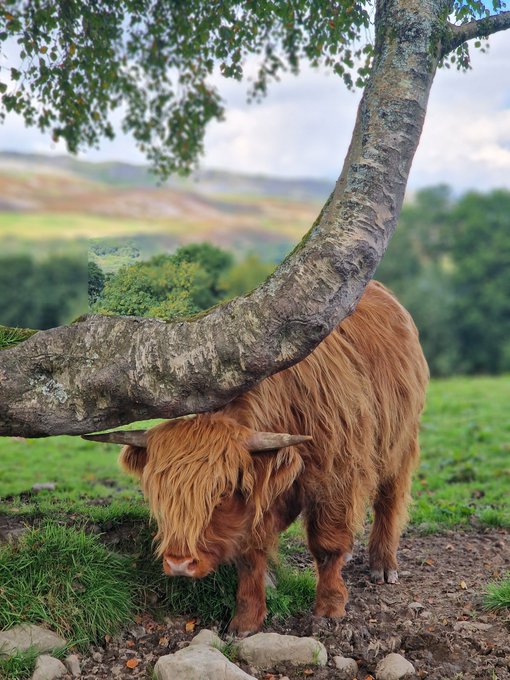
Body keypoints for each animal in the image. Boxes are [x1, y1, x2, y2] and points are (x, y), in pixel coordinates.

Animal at [83, 278, 426, 636]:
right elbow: (250, 556)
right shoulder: (257, 492)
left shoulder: (336, 480)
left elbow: (327, 545)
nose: (179, 563)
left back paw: (383, 565)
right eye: (159, 495)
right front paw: (246, 620)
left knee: (390, 499)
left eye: (221, 492)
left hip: (400, 441)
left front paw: (330, 608)